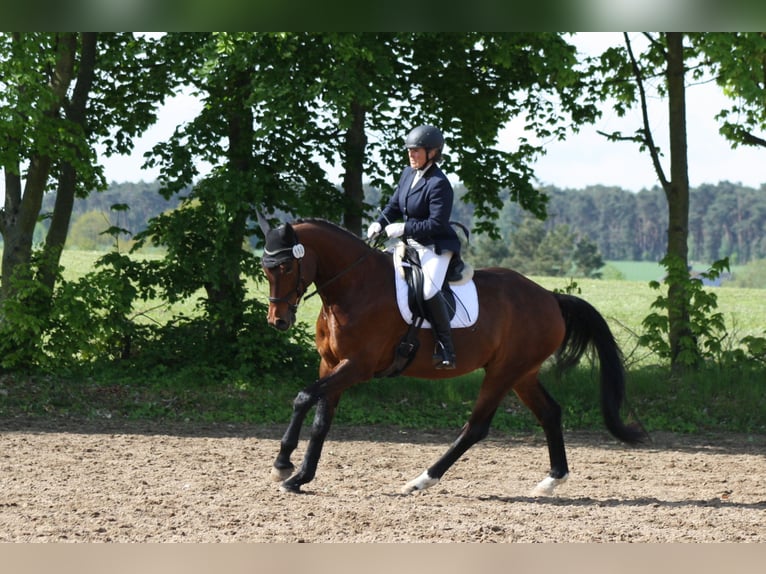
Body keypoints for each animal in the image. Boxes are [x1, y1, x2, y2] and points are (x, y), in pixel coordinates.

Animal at [259, 217, 647, 495]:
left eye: (286, 267)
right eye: (265, 269)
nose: (279, 321)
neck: (353, 287)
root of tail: (550, 297)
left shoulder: (358, 366)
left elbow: (304, 396)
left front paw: (283, 464)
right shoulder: (331, 364)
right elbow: (321, 418)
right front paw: (300, 476)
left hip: (503, 373)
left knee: (475, 427)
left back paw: (422, 480)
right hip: (522, 373)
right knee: (550, 413)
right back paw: (552, 481)